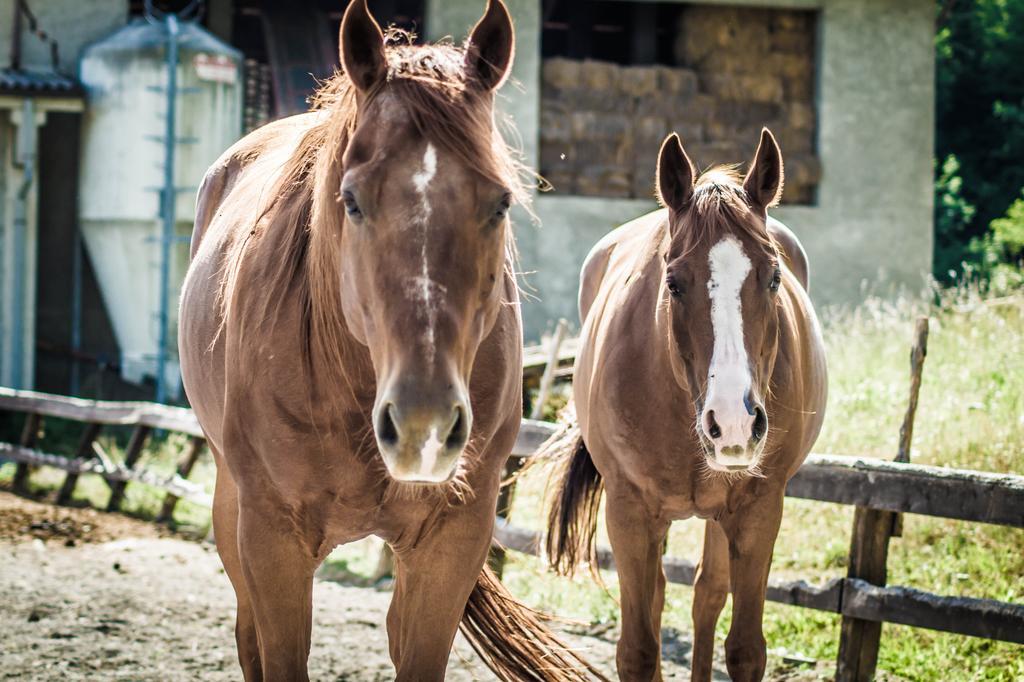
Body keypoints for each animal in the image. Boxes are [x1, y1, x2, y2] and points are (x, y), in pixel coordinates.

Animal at [179, 2, 598, 675]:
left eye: (501, 203)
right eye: (351, 201)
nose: (423, 425)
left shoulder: (451, 539)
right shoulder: (271, 540)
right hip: (231, 510)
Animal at [548, 129, 827, 679]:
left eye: (773, 278)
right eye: (674, 282)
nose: (735, 423)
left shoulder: (760, 510)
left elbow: (744, 648)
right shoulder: (629, 513)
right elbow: (638, 648)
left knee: (706, 596)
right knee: (660, 600)